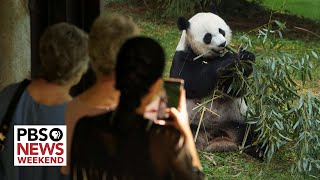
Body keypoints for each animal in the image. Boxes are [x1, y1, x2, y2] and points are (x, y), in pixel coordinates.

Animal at [170, 11, 262, 158]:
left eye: (221, 31)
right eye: (208, 37)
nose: (223, 43)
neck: (210, 58)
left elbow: (235, 89)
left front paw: (245, 58)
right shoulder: (182, 58)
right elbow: (192, 81)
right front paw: (227, 61)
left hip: (240, 119)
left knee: (254, 130)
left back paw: (258, 149)